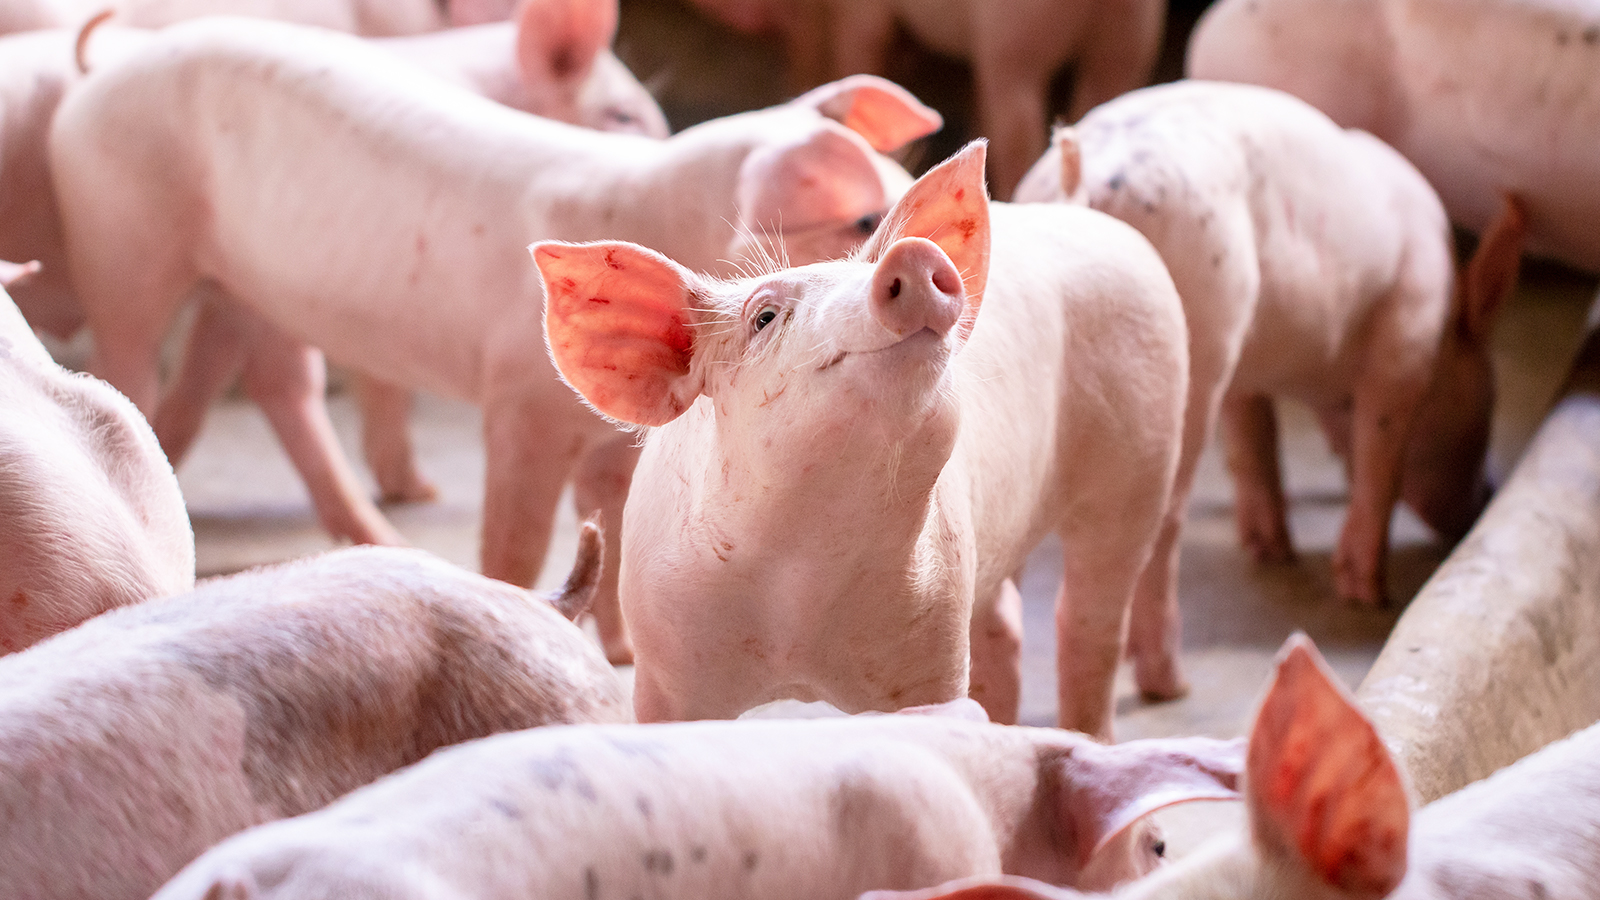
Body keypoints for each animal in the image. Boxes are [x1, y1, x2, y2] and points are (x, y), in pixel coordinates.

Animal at [49, 14, 942, 664]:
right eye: (861, 218)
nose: (931, 264)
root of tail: (101, 73)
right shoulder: (521, 405)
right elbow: (518, 536)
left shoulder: (615, 437)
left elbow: (617, 527)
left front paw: (623, 654)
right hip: (121, 231)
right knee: (135, 360)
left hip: (250, 288)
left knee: (278, 386)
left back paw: (386, 531)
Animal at [538, 141, 1189, 737]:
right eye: (763, 318)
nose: (914, 253)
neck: (798, 590)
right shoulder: (665, 667)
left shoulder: (934, 638)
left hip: (1144, 455)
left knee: (1090, 621)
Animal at [1012, 82, 1526, 701]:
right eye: (1487, 407)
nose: (1487, 494)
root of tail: (1080, 178)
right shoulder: (1406, 340)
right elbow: (1380, 457)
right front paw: (1371, 595)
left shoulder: (1248, 372)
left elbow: (1255, 441)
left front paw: (1272, 551)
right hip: (1200, 342)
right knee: (1165, 523)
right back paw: (1172, 684)